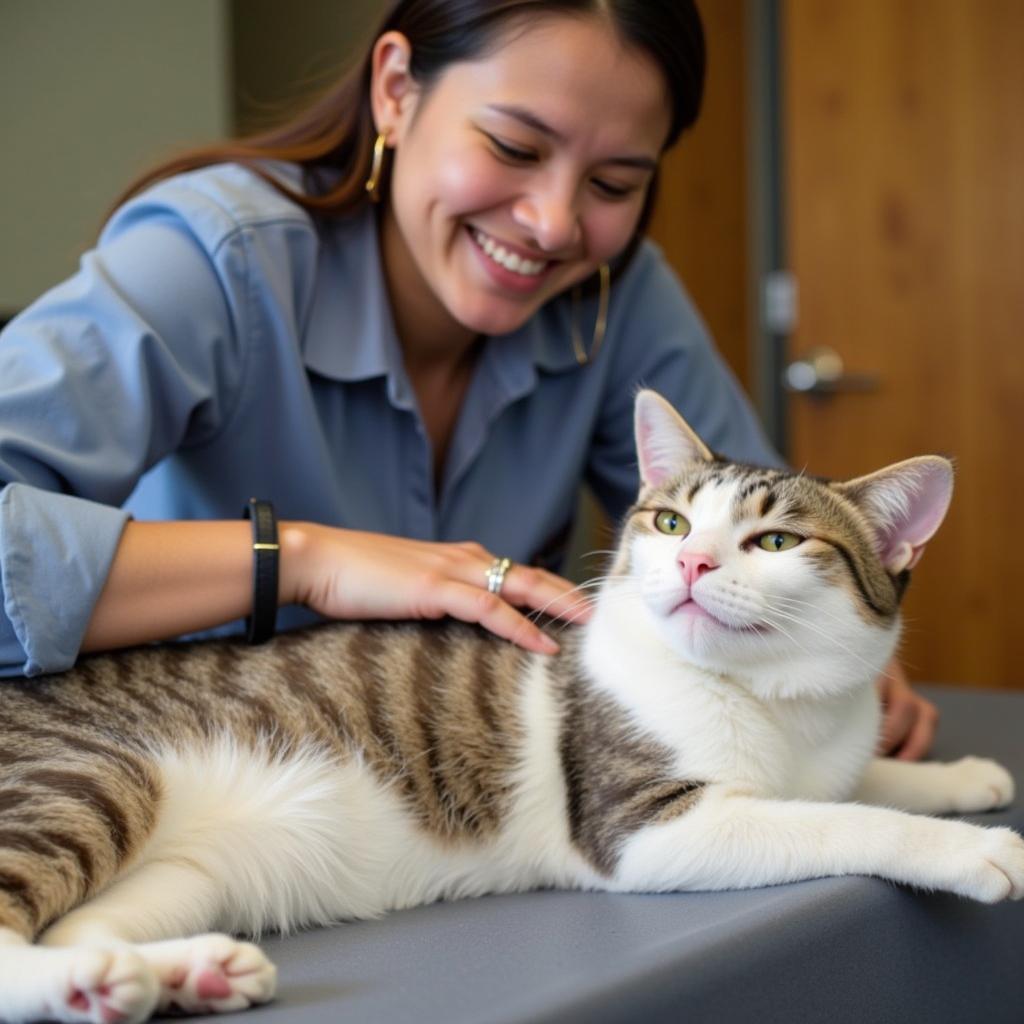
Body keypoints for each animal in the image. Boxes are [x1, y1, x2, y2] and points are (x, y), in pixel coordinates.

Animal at [2, 391, 1024, 1024]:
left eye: (775, 541)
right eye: (671, 523)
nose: (694, 562)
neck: (774, 702)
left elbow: (858, 781)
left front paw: (956, 775)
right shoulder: (643, 827)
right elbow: (833, 819)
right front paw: (972, 848)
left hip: (192, 874)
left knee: (79, 922)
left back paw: (176, 975)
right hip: (91, 778)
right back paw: (99, 979)